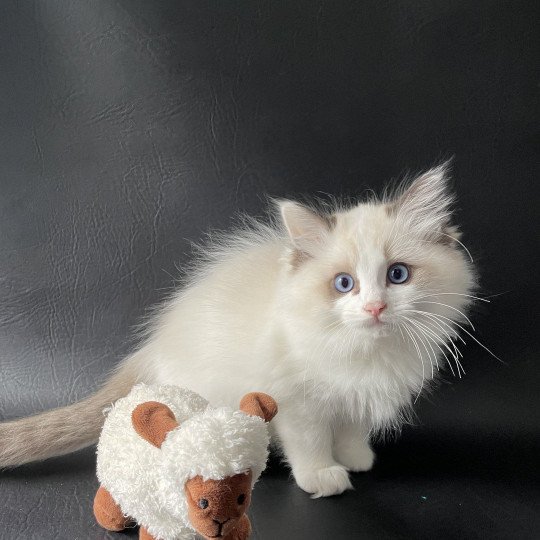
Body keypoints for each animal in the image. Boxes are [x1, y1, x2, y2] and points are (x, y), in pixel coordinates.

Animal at [0, 163, 474, 498]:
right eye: (344, 284)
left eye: (398, 275)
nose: (375, 307)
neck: (364, 350)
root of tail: (153, 346)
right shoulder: (296, 402)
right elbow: (311, 442)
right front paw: (324, 476)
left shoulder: (355, 398)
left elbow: (351, 429)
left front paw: (357, 458)